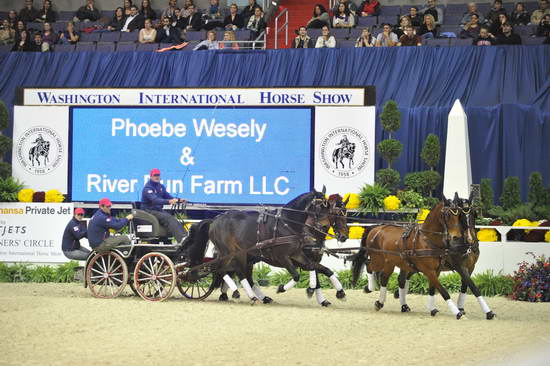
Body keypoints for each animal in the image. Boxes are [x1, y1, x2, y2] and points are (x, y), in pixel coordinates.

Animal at [185, 187, 350, 304]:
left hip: (244, 255)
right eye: (321, 205)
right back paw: (242, 294)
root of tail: (215, 220)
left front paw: (338, 293)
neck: (288, 224)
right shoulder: (283, 256)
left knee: (239, 273)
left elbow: (323, 270)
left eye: (345, 212)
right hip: (231, 252)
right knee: (226, 270)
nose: (344, 236)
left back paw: (257, 296)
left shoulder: (299, 255)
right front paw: (283, 288)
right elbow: (298, 275)